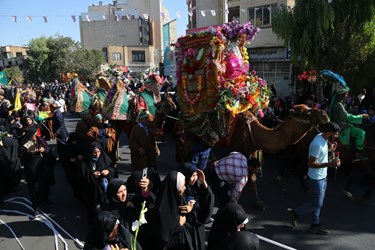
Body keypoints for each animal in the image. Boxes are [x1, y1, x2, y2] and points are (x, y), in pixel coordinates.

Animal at [175, 102, 330, 210]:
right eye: (308, 111)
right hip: (189, 133)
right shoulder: (238, 148)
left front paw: (260, 203)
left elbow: (254, 178)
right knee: (185, 152)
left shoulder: (253, 149)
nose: (325, 115)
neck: (255, 133)